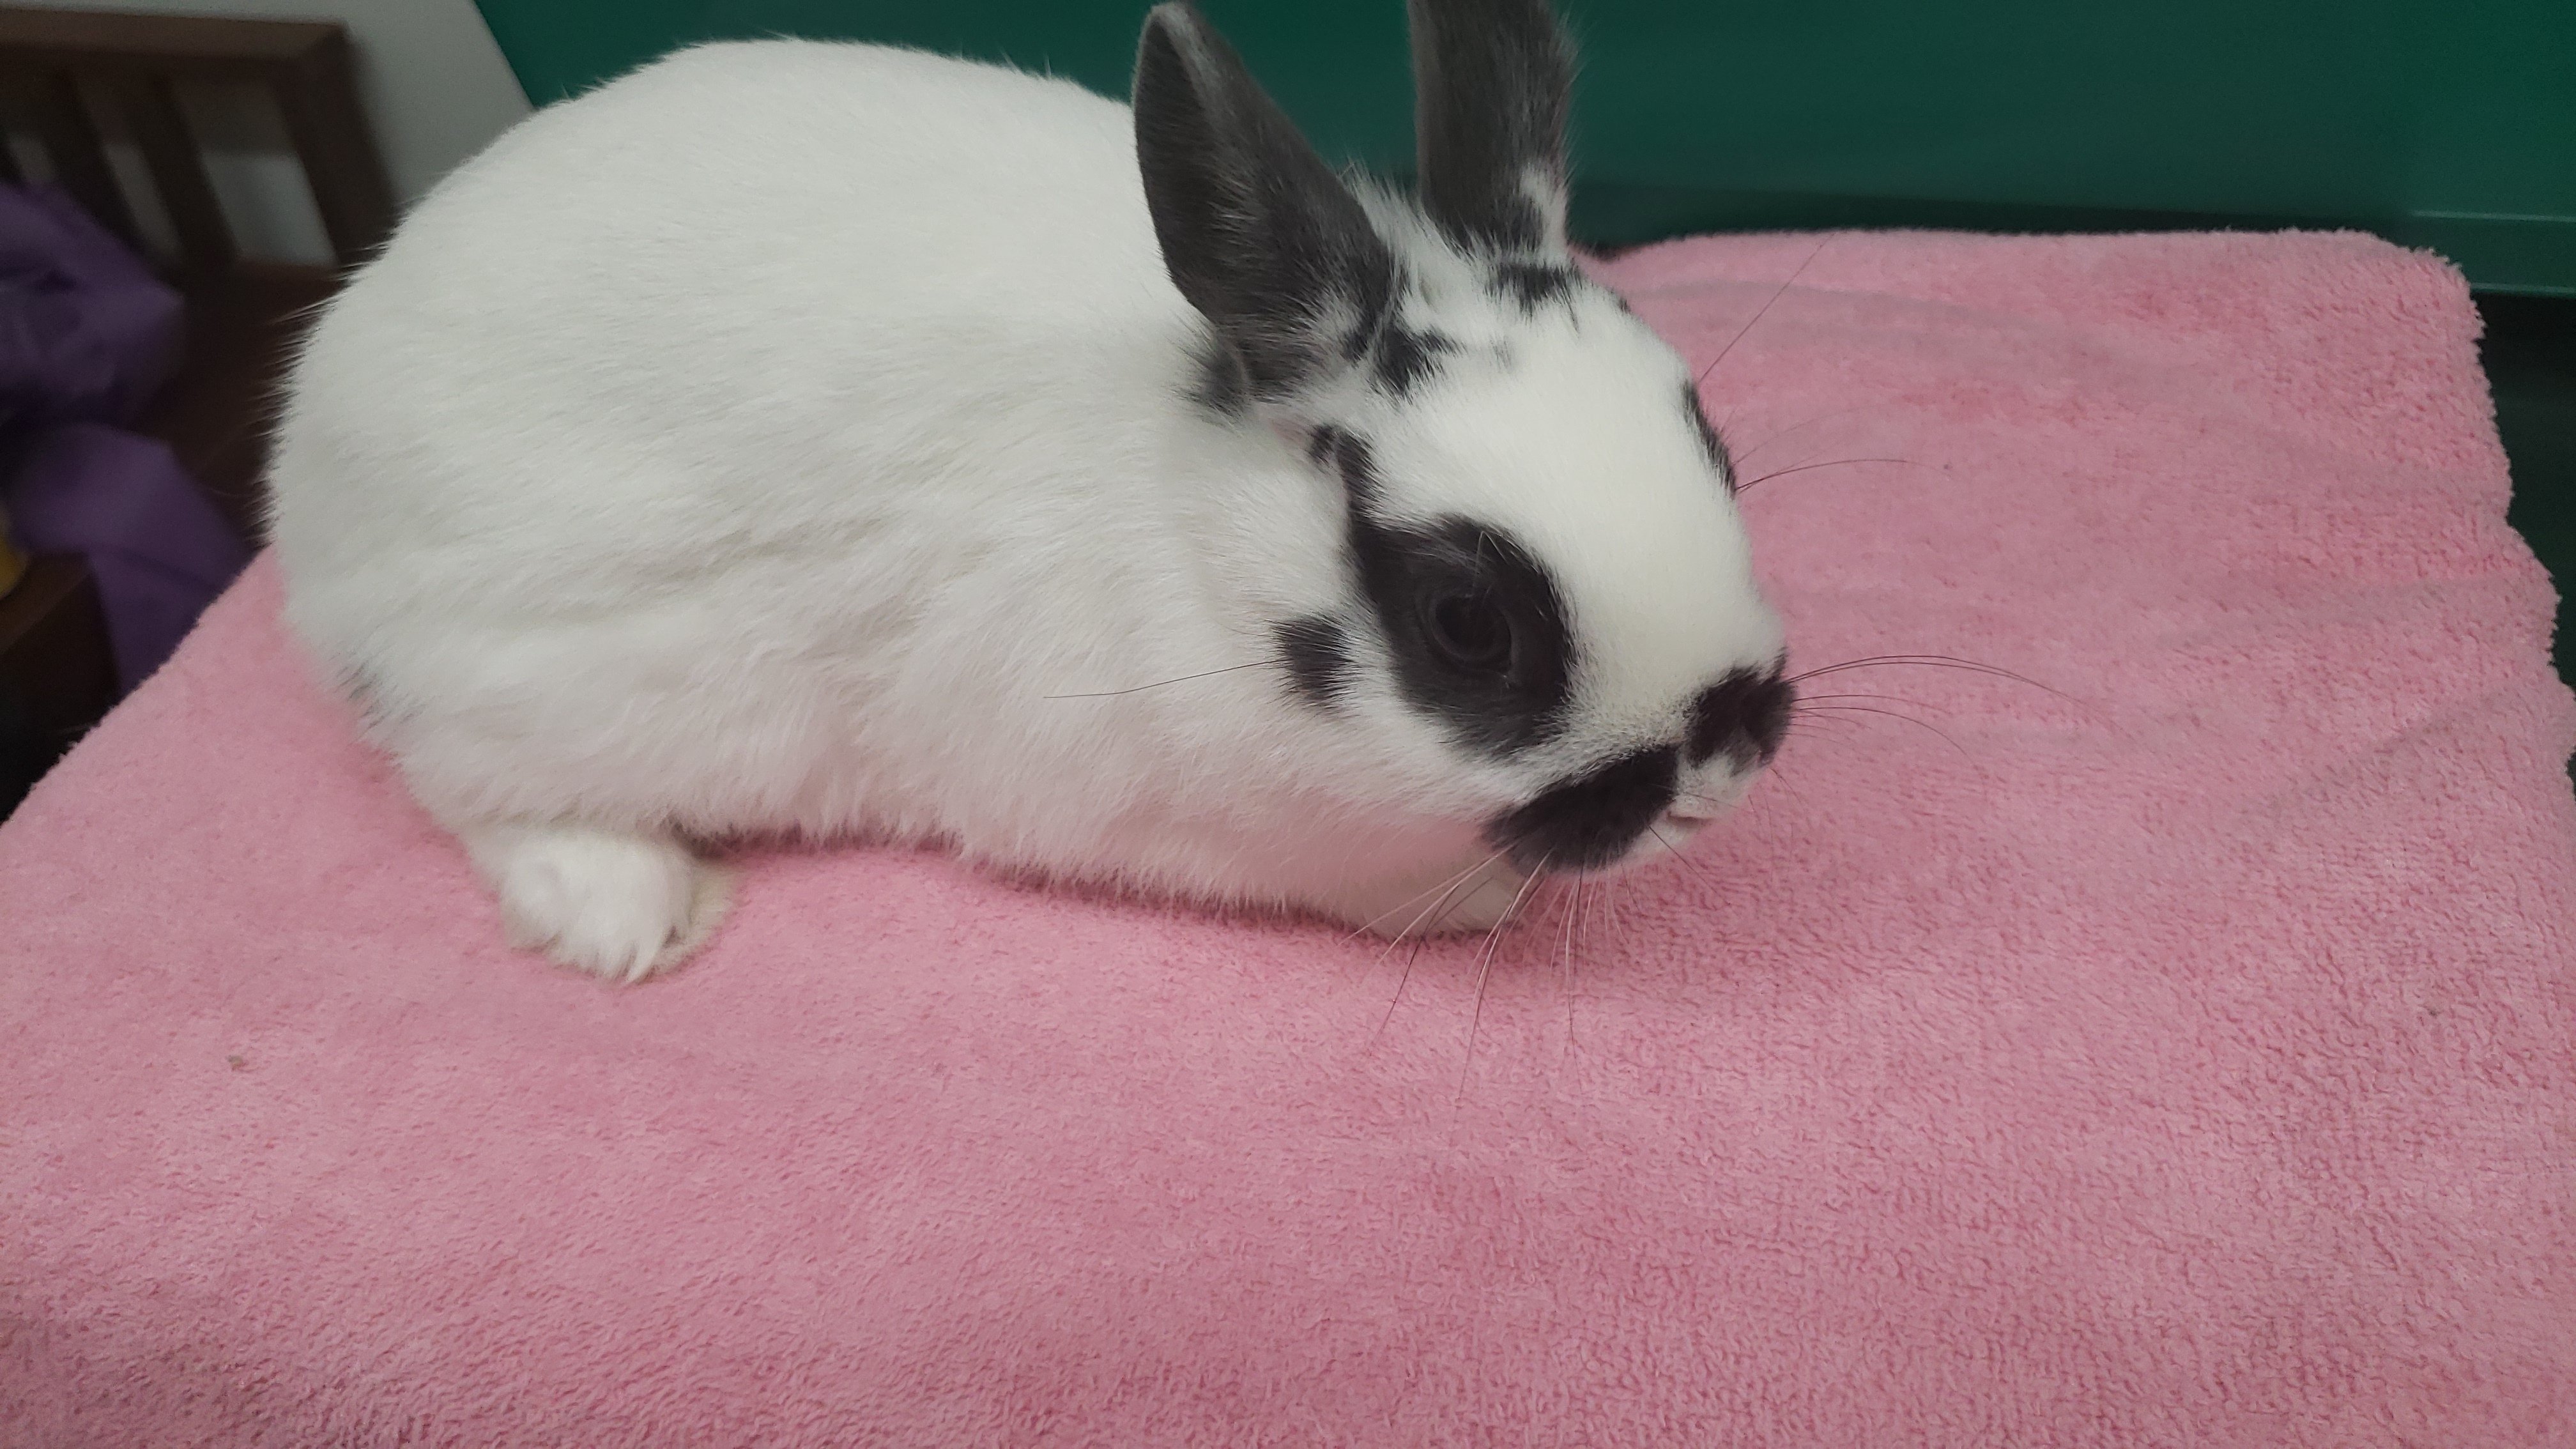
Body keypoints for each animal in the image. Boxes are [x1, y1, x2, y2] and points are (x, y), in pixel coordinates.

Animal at [263, 0, 1794, 982]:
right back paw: (628, 916)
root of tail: (303, 469)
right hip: (543, 675)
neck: (1198, 533)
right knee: (468, 784)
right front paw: (1478, 902)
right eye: (1466, 622)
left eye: (1711, 443)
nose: (1720, 760)